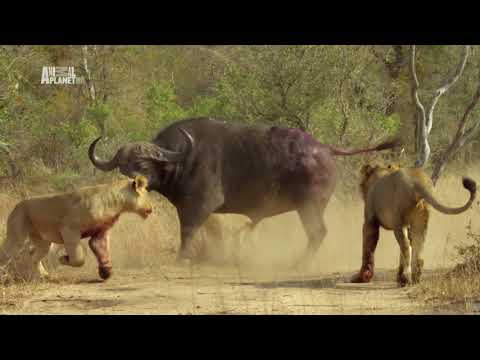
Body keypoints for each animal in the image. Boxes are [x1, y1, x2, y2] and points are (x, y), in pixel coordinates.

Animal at [88, 116, 396, 266]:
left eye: (143, 163)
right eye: (123, 165)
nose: (132, 182)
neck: (181, 160)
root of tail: (325, 149)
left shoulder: (199, 206)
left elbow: (188, 231)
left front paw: (181, 258)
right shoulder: (200, 210)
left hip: (309, 206)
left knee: (318, 233)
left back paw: (299, 263)